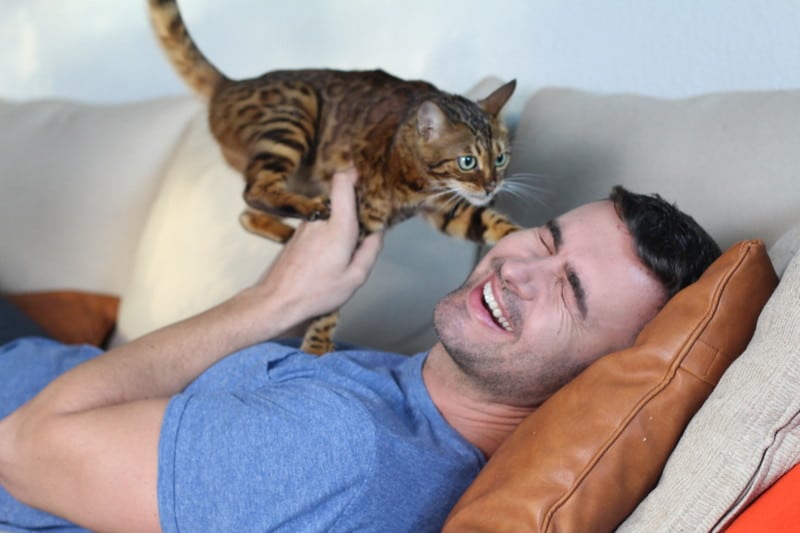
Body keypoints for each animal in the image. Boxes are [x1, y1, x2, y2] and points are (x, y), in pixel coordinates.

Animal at [148, 1, 520, 358]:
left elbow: (492, 222)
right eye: (467, 162)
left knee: (246, 212)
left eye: (501, 158)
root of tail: (231, 84)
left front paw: (528, 241)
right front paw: (316, 346)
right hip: (295, 110)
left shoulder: (446, 209)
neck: (420, 180)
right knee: (254, 191)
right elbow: (328, 304)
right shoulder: (363, 219)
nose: (492, 185)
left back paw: (286, 230)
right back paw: (309, 210)